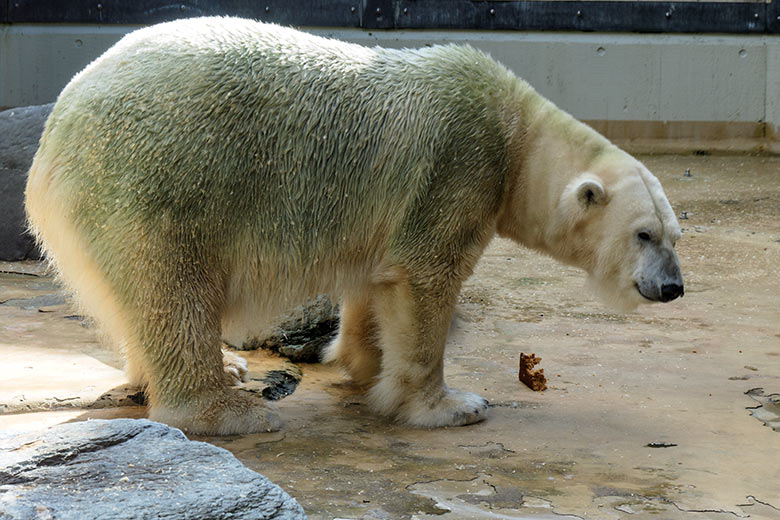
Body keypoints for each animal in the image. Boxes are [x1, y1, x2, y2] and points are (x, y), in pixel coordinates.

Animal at [24, 17, 684, 434]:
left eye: (676, 235)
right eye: (643, 234)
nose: (673, 287)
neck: (518, 134)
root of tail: (55, 134)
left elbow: (379, 281)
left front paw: (366, 366)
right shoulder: (459, 165)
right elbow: (425, 277)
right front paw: (452, 405)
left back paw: (225, 366)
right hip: (158, 181)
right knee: (173, 286)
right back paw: (231, 410)